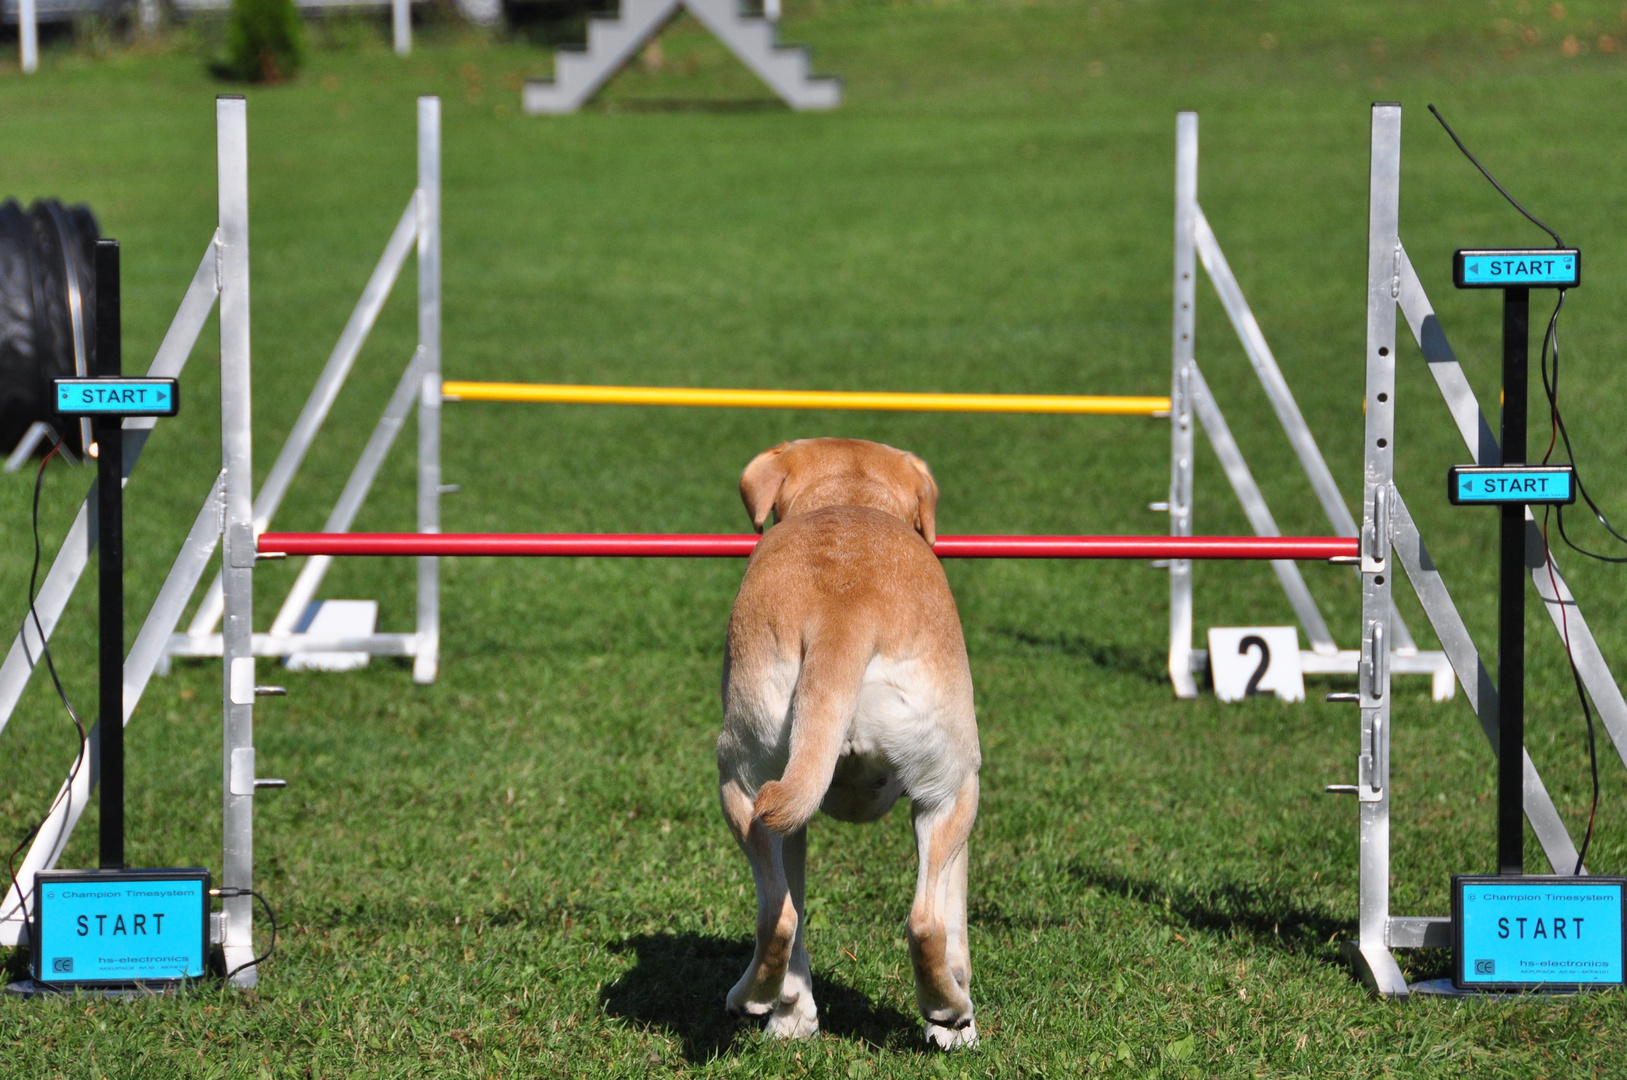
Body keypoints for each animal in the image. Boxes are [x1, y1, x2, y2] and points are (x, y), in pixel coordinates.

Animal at [722, 435, 976, 1047]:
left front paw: (793, 1017)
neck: (849, 499)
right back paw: (946, 1009)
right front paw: (961, 1024)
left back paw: (764, 1004)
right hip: (951, 793)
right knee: (925, 922)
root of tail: (842, 613)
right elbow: (956, 926)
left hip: (751, 790)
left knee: (782, 918)